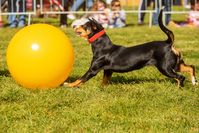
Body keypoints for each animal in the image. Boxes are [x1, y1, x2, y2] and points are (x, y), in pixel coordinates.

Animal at [65, 9, 197, 88]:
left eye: (84, 26)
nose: (74, 25)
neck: (103, 47)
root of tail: (168, 43)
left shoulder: (93, 70)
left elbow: (80, 79)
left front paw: (69, 84)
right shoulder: (108, 71)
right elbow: (104, 81)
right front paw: (102, 88)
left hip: (165, 67)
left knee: (180, 77)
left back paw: (179, 88)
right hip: (175, 64)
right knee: (191, 67)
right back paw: (194, 82)